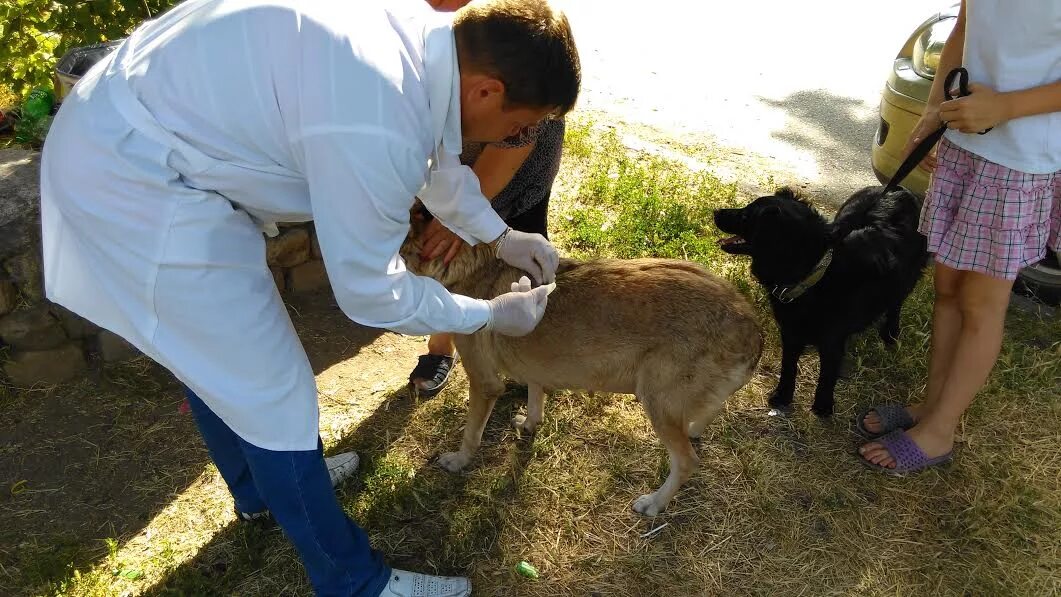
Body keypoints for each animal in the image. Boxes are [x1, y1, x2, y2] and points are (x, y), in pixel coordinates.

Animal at [398, 216, 763, 519]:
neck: (472, 264)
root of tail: (750, 324)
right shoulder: (535, 365)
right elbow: (535, 396)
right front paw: (530, 423)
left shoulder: (484, 383)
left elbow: (471, 434)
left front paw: (459, 461)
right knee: (705, 417)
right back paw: (695, 430)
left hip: (655, 402)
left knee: (686, 462)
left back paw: (655, 503)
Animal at [712, 186, 929, 415]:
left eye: (746, 216)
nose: (716, 212)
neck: (815, 274)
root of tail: (897, 188)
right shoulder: (791, 331)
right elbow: (788, 366)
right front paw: (783, 396)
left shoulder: (831, 339)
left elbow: (827, 373)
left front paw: (822, 406)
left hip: (909, 278)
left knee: (896, 303)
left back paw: (890, 333)